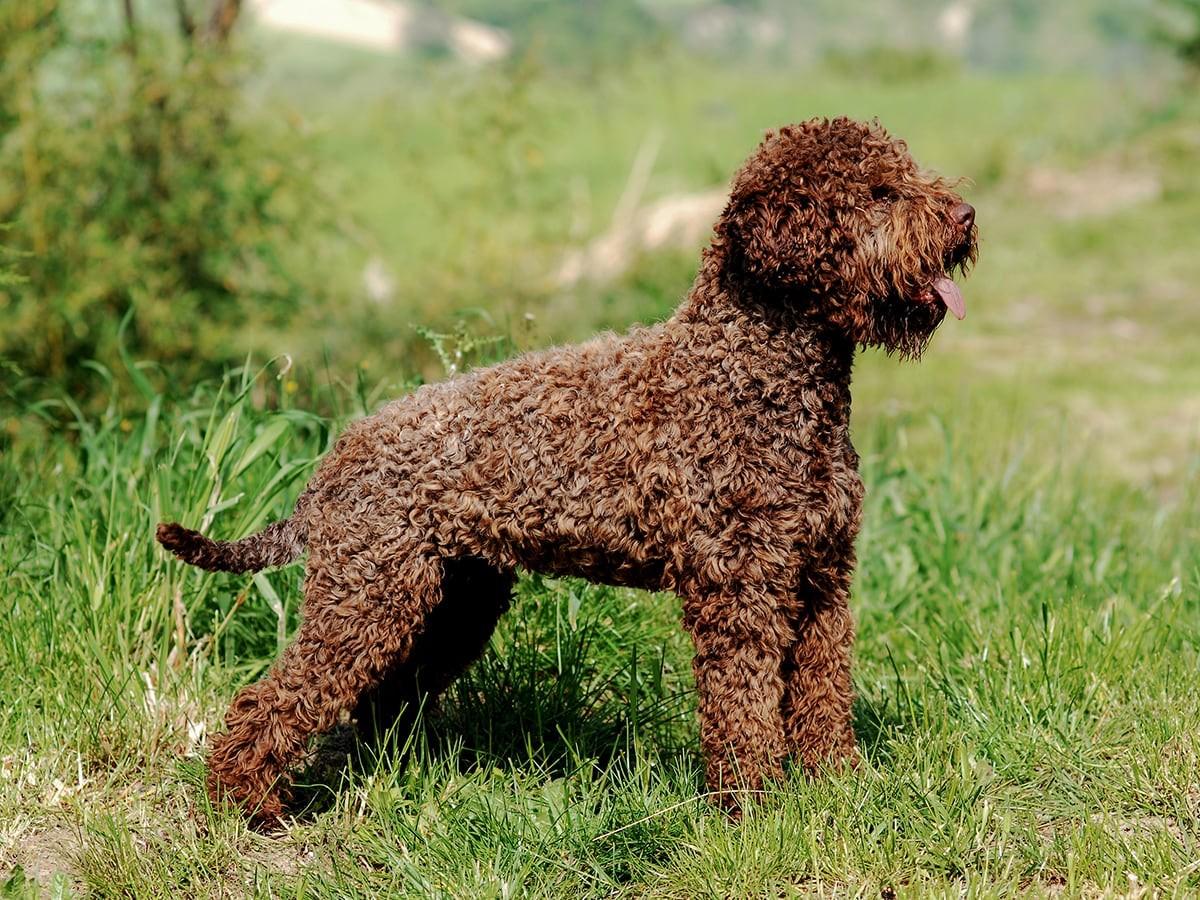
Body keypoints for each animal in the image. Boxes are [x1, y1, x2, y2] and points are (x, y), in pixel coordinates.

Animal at [157, 116, 974, 830]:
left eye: (903, 174)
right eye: (879, 193)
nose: (966, 216)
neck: (753, 373)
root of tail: (336, 457)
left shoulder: (822, 577)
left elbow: (823, 694)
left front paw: (840, 787)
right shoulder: (741, 589)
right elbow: (742, 709)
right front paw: (751, 809)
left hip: (451, 600)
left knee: (378, 702)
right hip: (367, 599)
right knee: (274, 700)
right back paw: (247, 803)